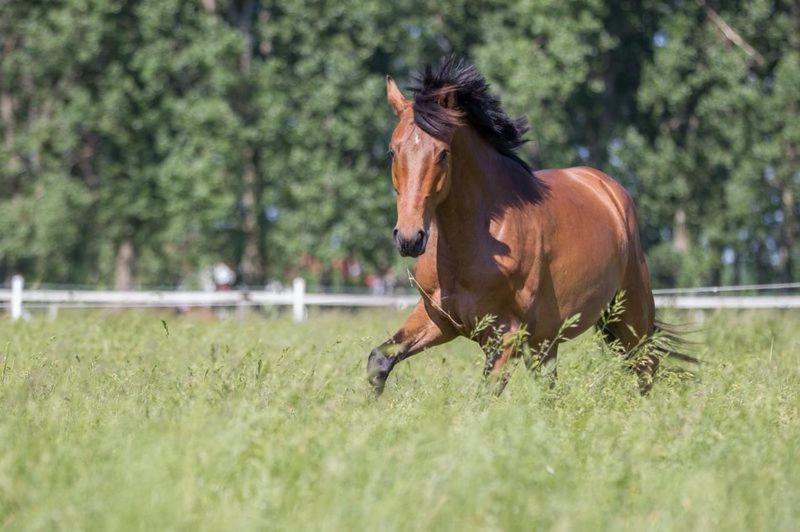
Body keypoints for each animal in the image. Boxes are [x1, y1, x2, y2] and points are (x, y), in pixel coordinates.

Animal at [366, 57, 692, 394]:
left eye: (443, 154)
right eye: (392, 151)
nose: (410, 238)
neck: (468, 248)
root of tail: (607, 188)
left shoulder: (506, 335)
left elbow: (484, 395)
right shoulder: (438, 318)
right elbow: (379, 360)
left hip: (630, 313)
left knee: (646, 367)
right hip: (546, 342)